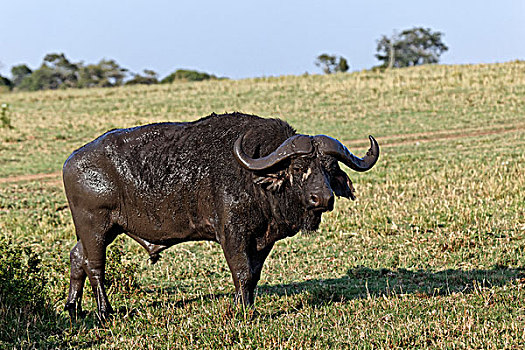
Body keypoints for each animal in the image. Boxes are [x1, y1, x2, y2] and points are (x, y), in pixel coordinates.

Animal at [63, 112, 378, 320]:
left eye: (330, 167)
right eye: (299, 168)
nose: (323, 199)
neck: (255, 179)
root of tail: (71, 161)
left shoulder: (263, 240)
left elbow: (253, 274)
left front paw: (243, 305)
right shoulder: (232, 235)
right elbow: (241, 272)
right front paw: (244, 312)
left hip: (98, 231)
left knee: (77, 257)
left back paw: (73, 307)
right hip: (95, 227)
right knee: (95, 266)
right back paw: (104, 312)